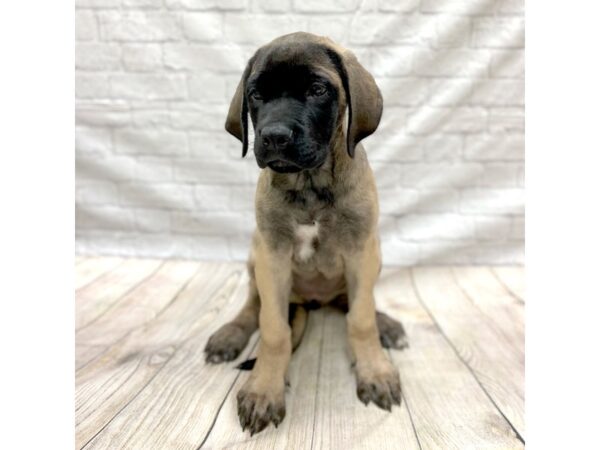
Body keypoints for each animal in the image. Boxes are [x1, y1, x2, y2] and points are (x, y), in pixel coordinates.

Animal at [204, 31, 406, 436]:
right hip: (255, 256)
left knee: (354, 303)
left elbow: (360, 319)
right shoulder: (273, 257)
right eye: (256, 94)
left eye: (317, 89)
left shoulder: (361, 251)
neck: (310, 184)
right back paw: (230, 334)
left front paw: (375, 371)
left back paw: (387, 324)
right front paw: (264, 390)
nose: (274, 137)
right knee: (252, 308)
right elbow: (273, 329)